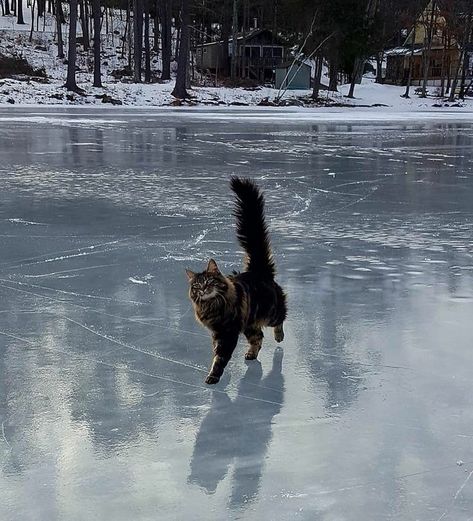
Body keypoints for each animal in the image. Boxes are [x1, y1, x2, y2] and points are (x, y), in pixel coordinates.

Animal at [186, 177, 286, 384]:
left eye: (209, 282)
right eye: (197, 286)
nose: (203, 290)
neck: (212, 306)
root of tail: (258, 270)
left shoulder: (228, 332)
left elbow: (220, 357)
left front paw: (213, 377)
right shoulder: (217, 333)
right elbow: (216, 351)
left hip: (270, 313)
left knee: (281, 317)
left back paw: (279, 336)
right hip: (250, 323)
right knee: (258, 337)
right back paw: (251, 354)